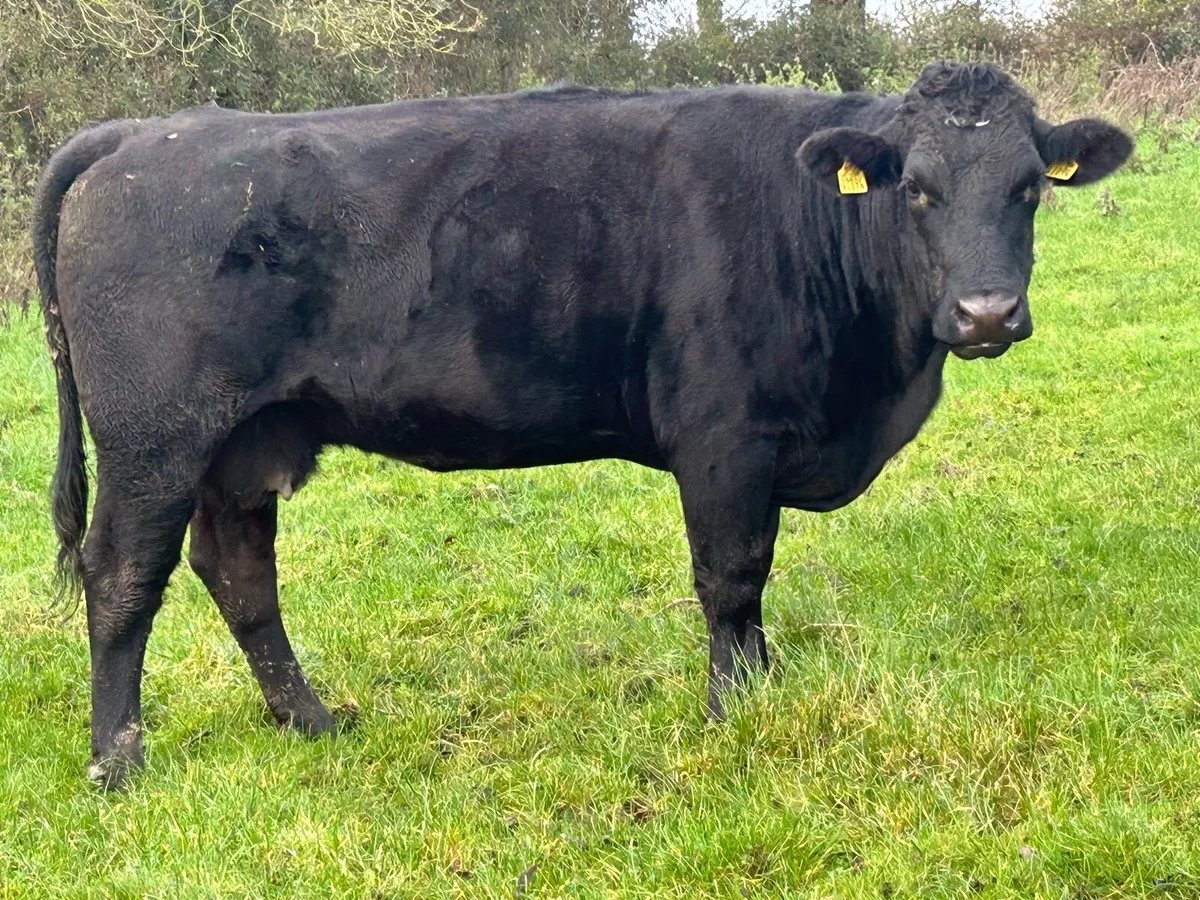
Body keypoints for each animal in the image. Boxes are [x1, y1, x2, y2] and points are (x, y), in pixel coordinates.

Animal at [32, 61, 1132, 789]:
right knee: (123, 578)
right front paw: (735, 714)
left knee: (239, 574)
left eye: (1029, 188)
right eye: (919, 189)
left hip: (247, 441)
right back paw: (116, 764)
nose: (986, 313)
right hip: (155, 442)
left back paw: (312, 721)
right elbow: (732, 580)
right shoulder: (725, 443)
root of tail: (144, 133)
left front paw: (762, 692)